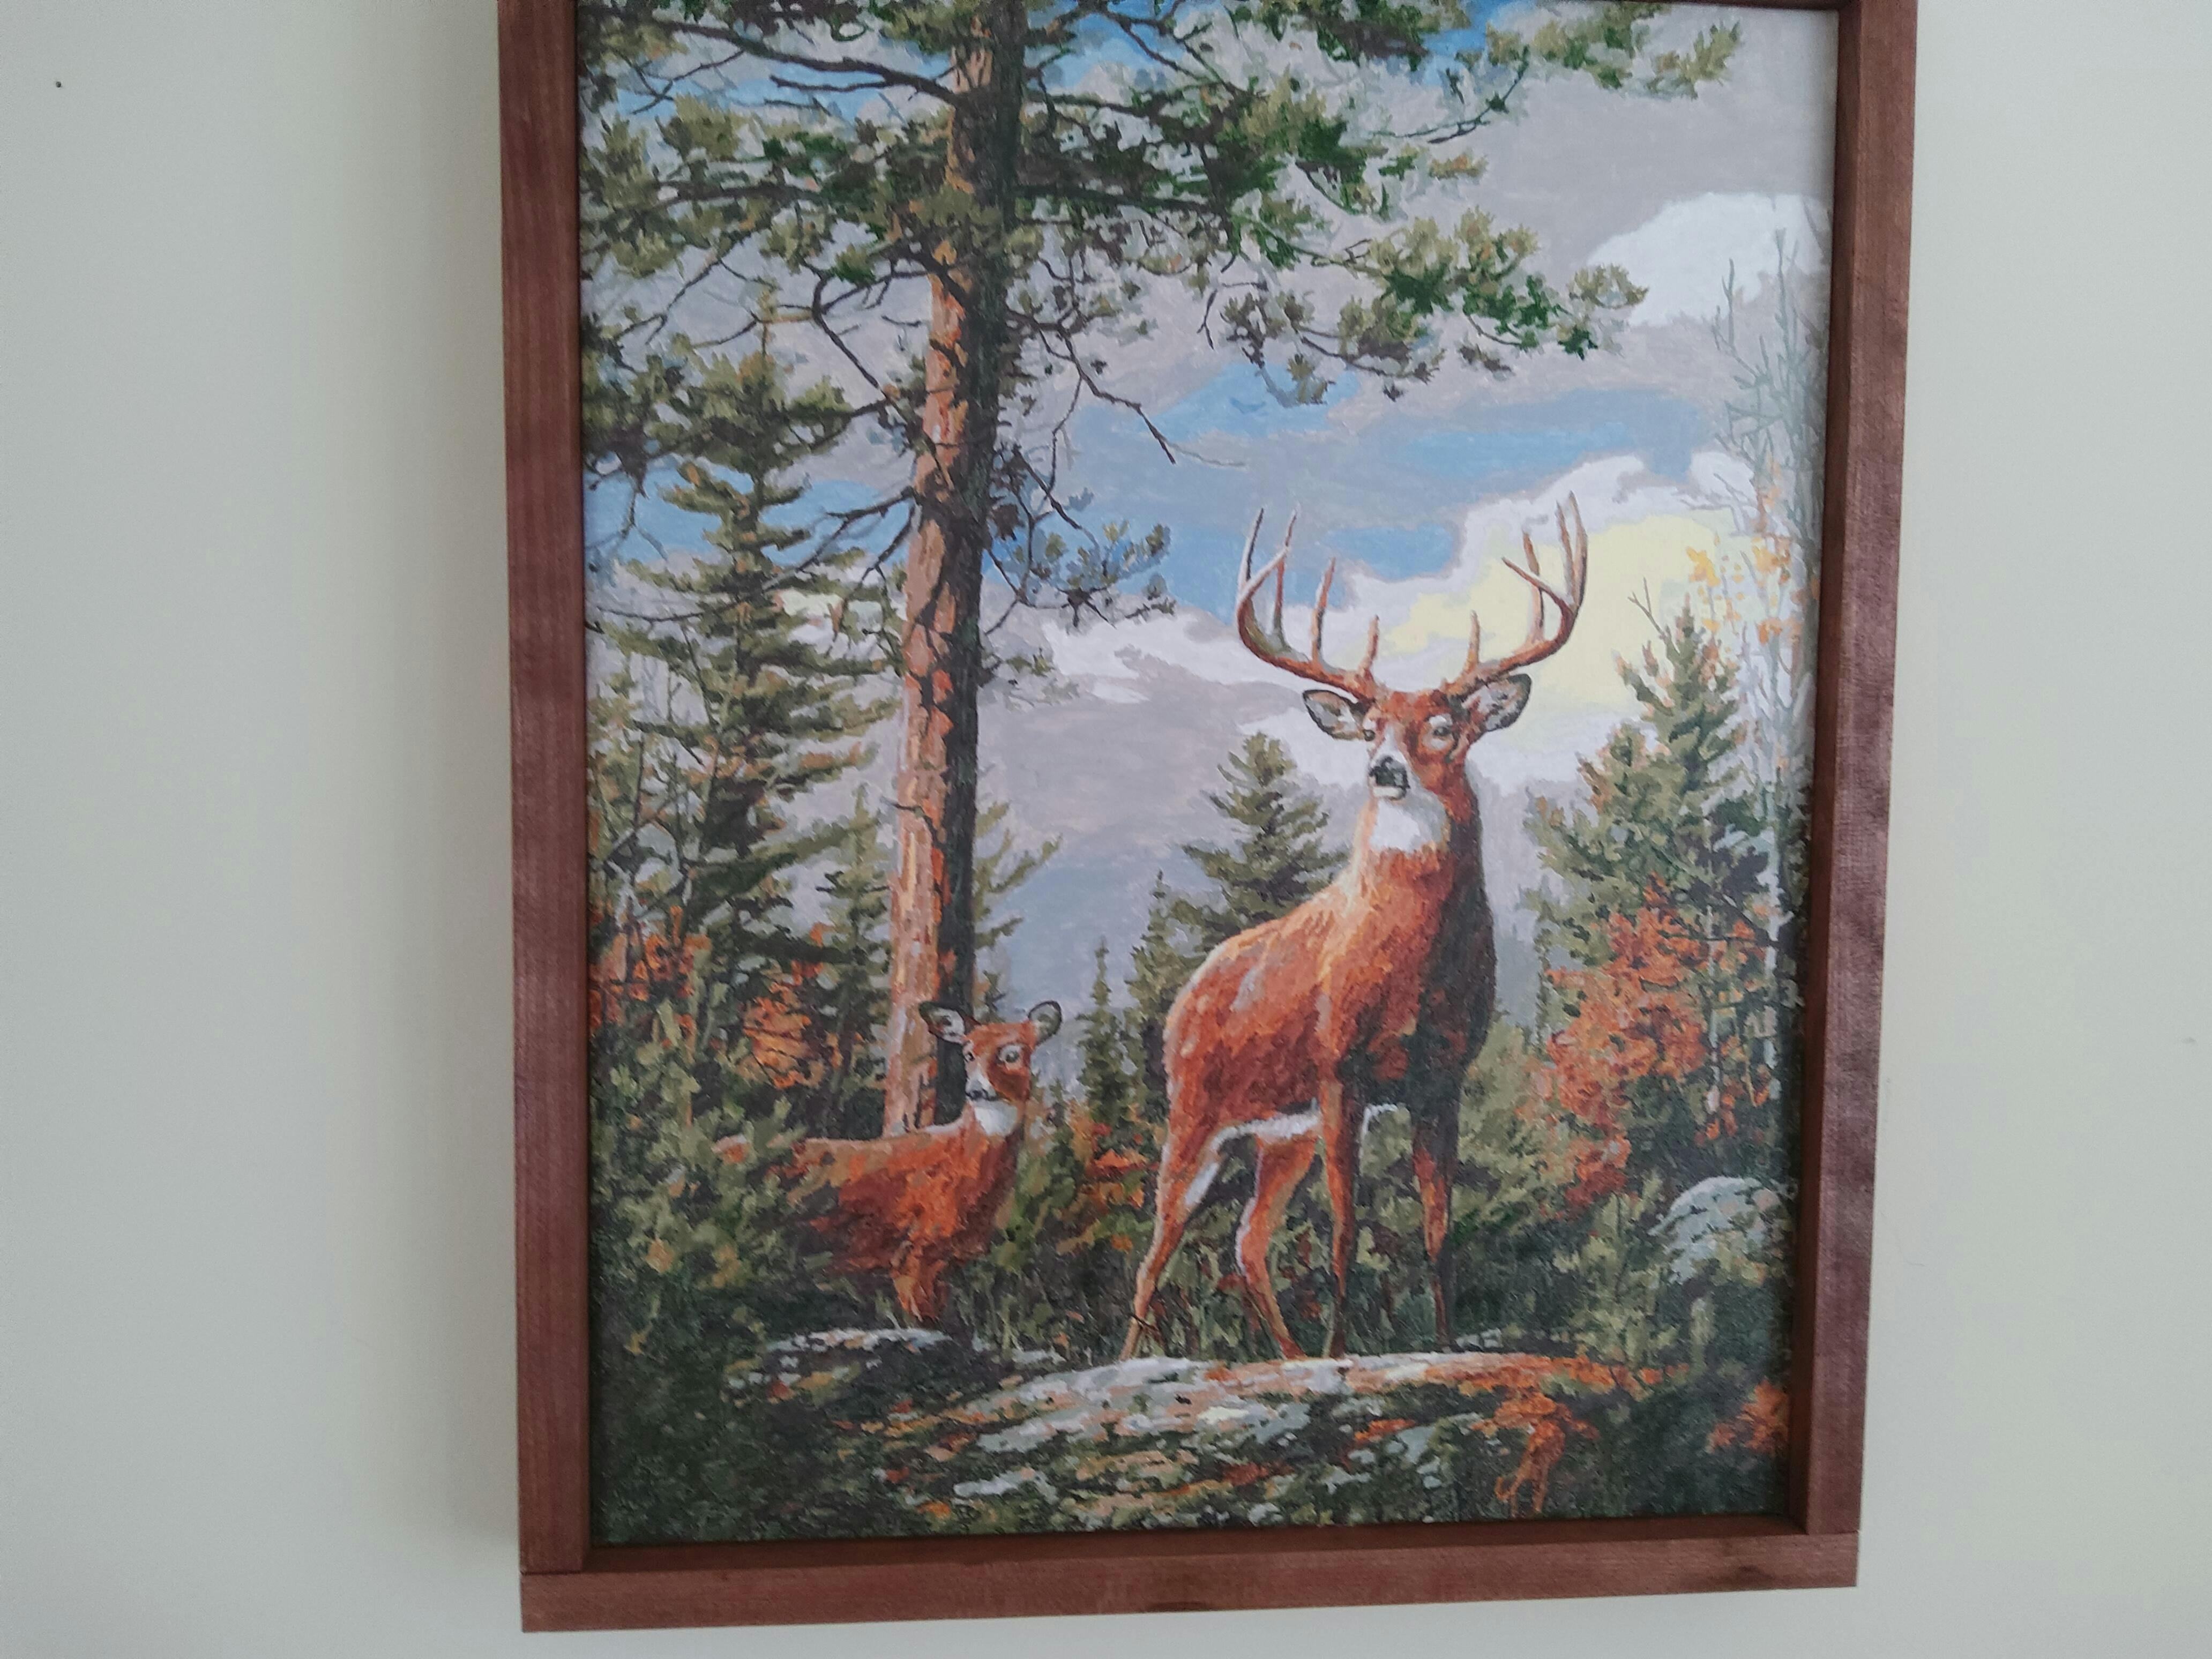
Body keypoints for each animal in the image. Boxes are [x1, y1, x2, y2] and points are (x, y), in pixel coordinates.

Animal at [748, 1001, 1061, 1328]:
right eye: (969, 1054)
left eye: (1012, 1055)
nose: (975, 1091)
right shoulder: (915, 1248)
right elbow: (924, 1320)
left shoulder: (944, 1258)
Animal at [1121, 499, 1589, 1362]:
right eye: (1372, 729)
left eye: (1441, 726)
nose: (1384, 771)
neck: (1412, 969)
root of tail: (1185, 998)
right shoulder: (1342, 1067)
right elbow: (1344, 1233)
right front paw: (1343, 1353)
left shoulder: (1443, 1075)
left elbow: (1440, 1232)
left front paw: (1444, 1344)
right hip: (1195, 1112)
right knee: (1156, 1248)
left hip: (1282, 1135)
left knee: (1246, 1242)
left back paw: (1289, 1356)